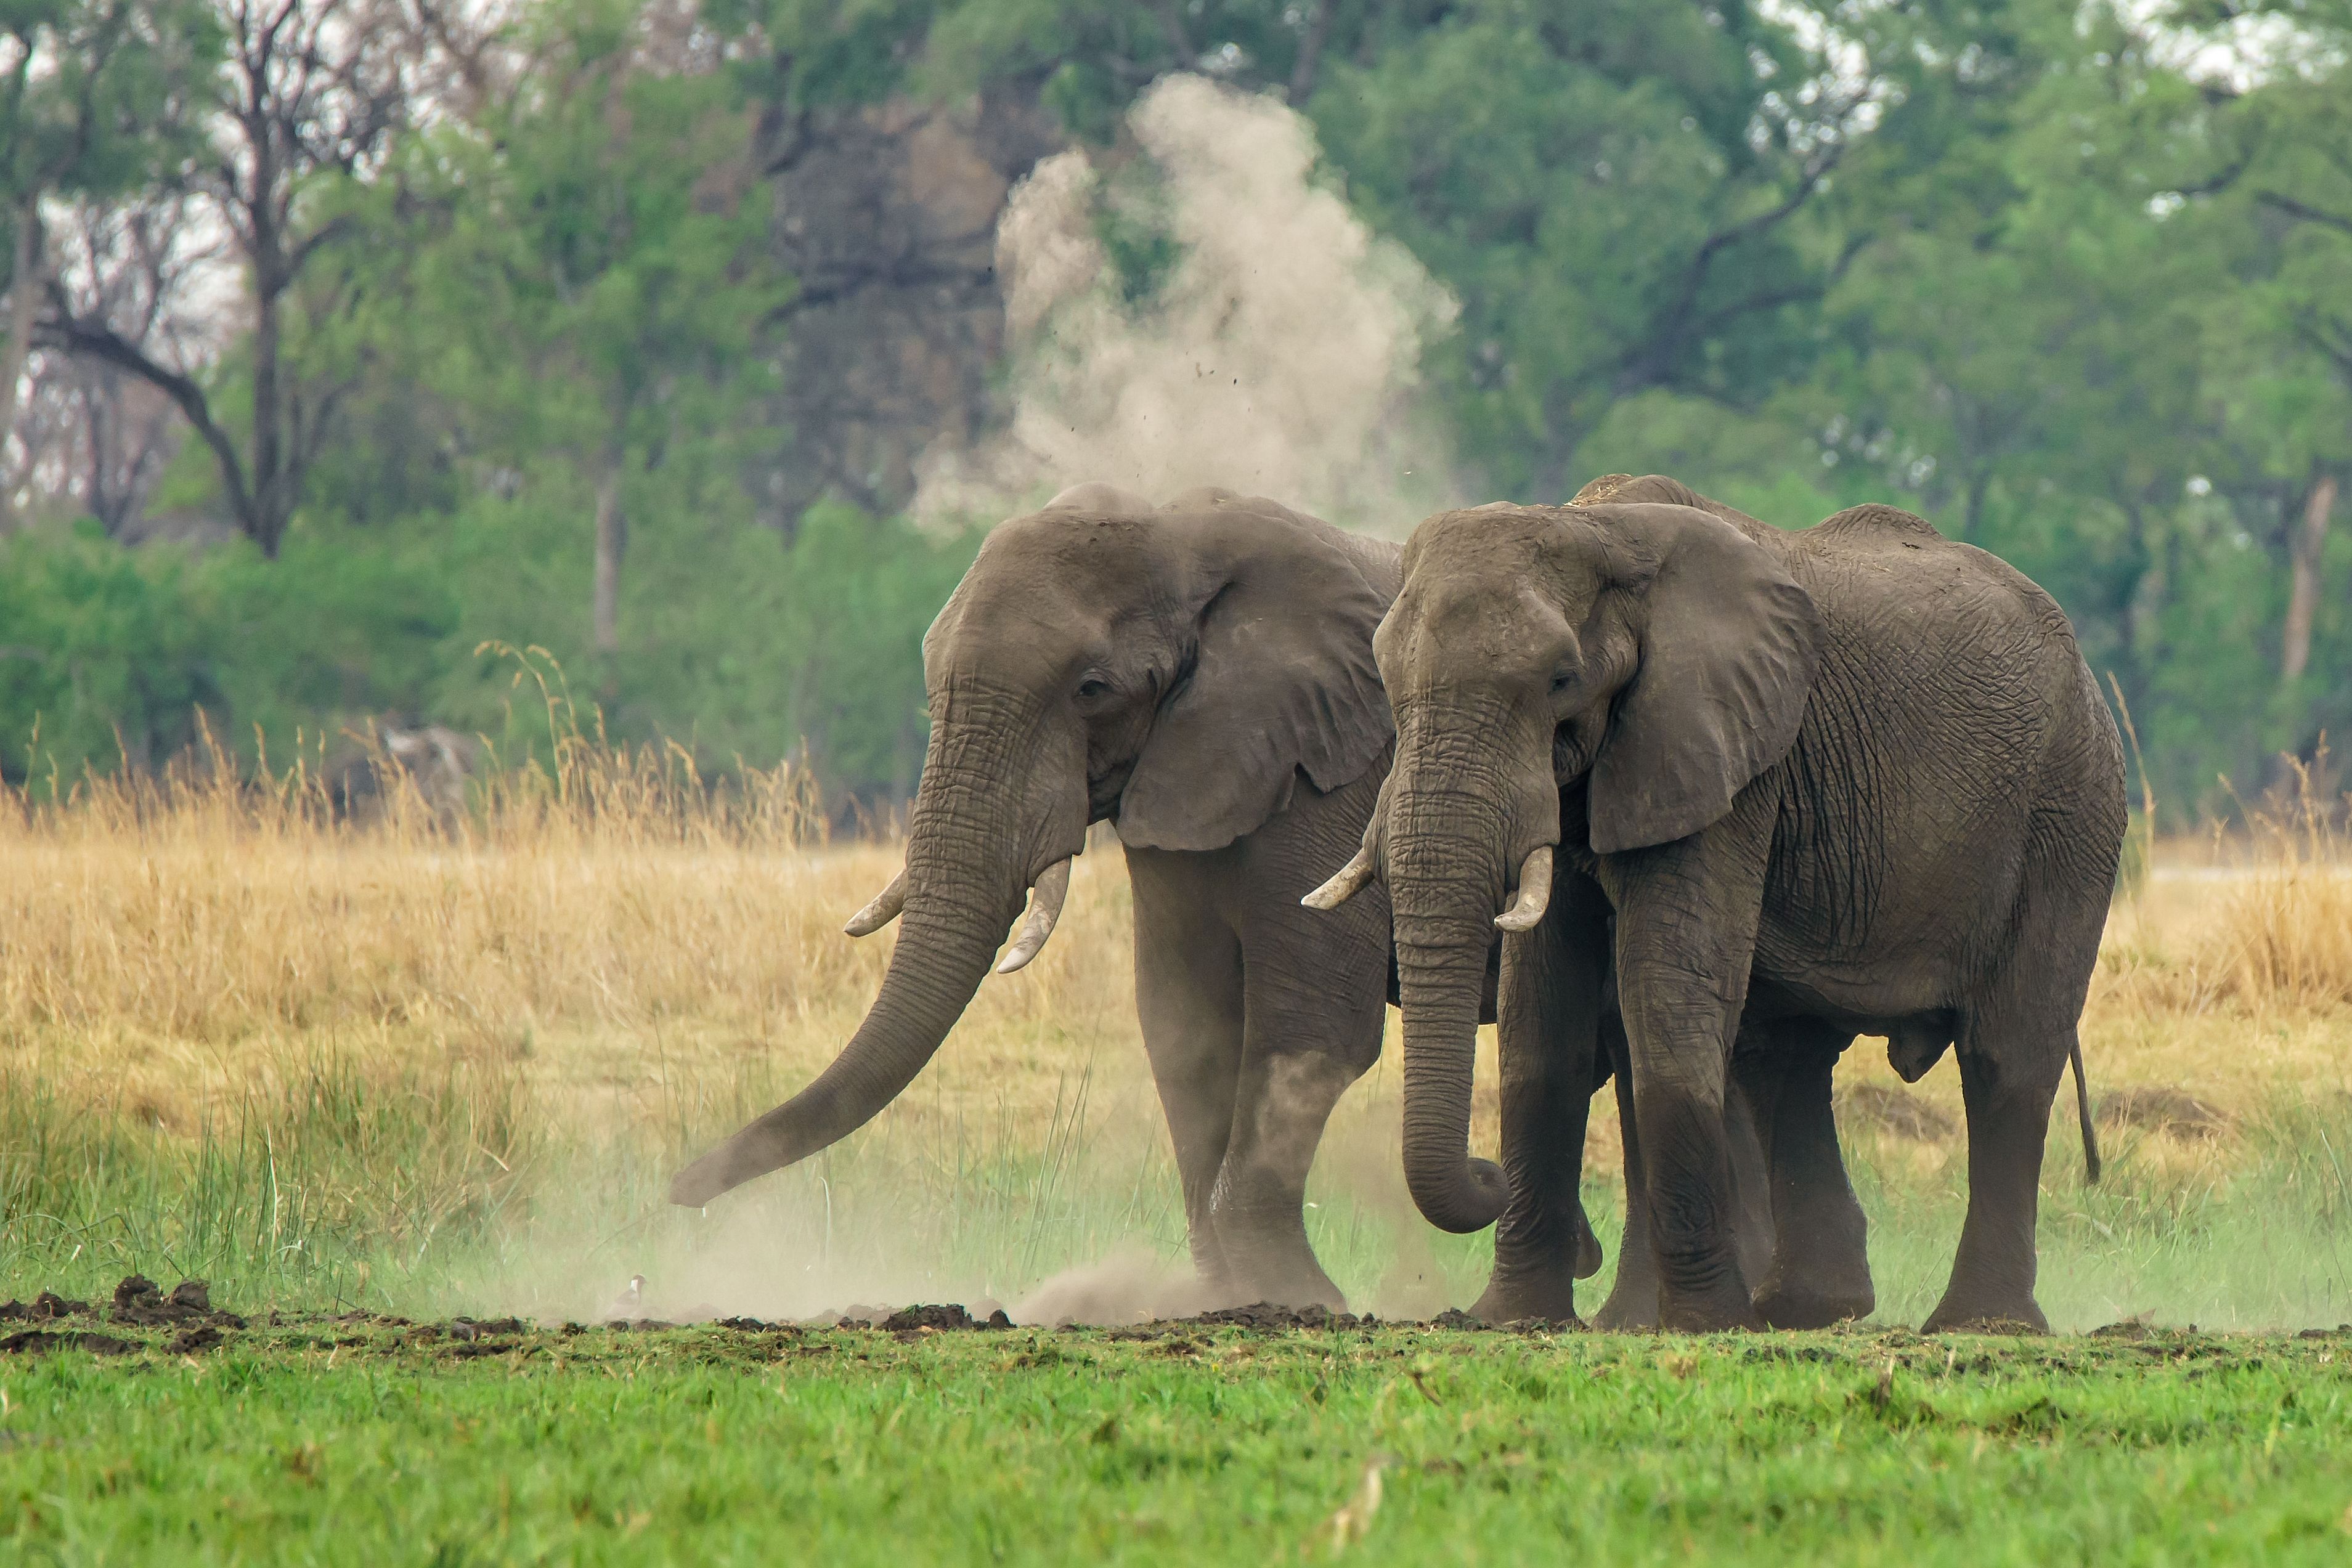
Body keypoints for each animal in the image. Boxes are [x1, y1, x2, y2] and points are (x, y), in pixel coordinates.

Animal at [672, 482, 1552, 1316]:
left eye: (1091, 690)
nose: (679, 1193)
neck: (1180, 537)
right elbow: (1184, 1027)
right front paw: (1230, 1296)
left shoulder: (1331, 773)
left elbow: (1312, 1028)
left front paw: (1300, 1296)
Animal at [1317, 479, 2126, 1335]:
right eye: (1384, 678)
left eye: (1561, 680)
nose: (1484, 1173)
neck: (1597, 528)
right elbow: (1541, 1019)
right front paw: (1511, 1319)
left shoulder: (1722, 753)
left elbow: (1666, 989)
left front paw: (1698, 1322)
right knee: (1787, 1057)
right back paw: (1803, 1309)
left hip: (2070, 807)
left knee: (2006, 1055)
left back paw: (1979, 1324)